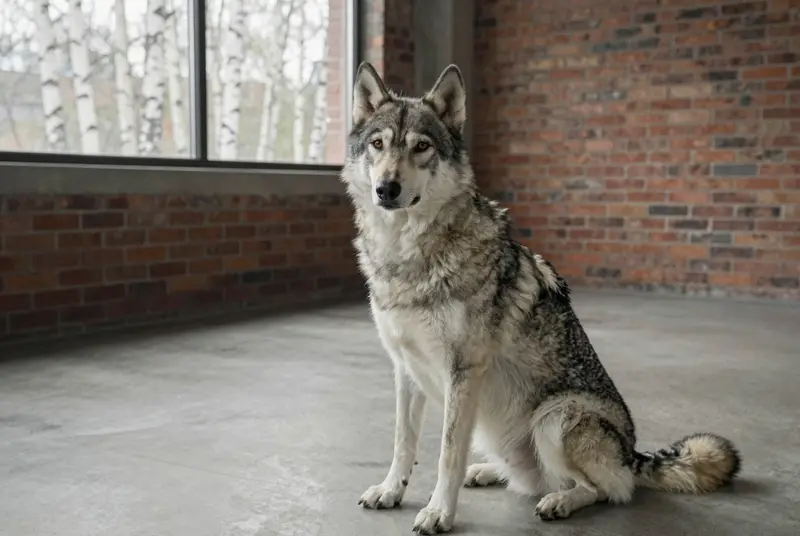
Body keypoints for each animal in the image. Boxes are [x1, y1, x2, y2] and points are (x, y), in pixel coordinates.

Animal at [340, 61, 741, 534]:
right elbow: (404, 443)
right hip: (501, 431)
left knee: (604, 490)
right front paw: (391, 491)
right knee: (528, 476)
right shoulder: (406, 368)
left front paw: (439, 512)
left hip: (554, 419)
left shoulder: (463, 372)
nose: (386, 188)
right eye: (378, 144)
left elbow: (447, 455)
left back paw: (560, 502)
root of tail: (633, 454)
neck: (407, 255)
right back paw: (490, 472)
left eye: (421, 147)